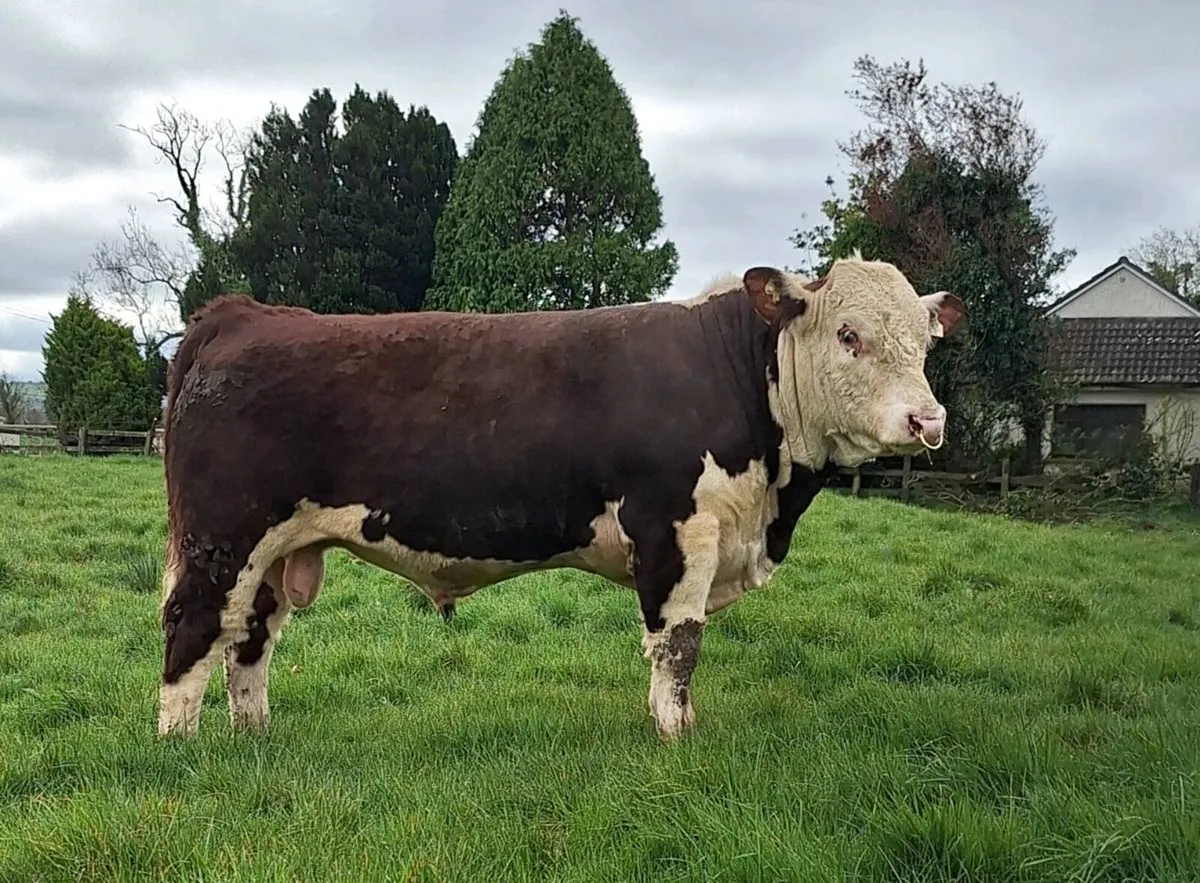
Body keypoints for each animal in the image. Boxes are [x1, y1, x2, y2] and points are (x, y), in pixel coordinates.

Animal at [156, 253, 964, 740]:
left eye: (926, 342)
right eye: (849, 334)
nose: (928, 420)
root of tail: (244, 314)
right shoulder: (676, 530)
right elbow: (679, 644)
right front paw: (677, 736)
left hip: (274, 548)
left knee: (250, 636)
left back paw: (255, 736)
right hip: (223, 536)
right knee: (193, 624)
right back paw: (183, 744)